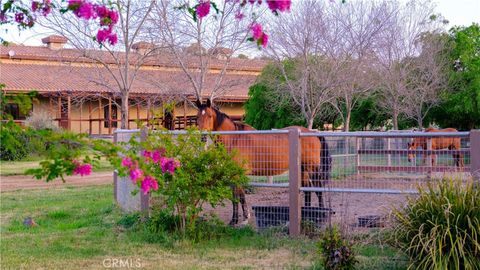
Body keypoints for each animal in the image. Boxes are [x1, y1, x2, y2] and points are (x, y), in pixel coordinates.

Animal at [195, 99, 330, 226]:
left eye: (209, 116)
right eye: (197, 117)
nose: (202, 137)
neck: (235, 138)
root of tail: (313, 133)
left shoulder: (238, 173)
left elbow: (238, 196)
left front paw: (240, 219)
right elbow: (237, 196)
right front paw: (239, 219)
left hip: (312, 168)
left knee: (318, 189)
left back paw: (322, 215)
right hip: (303, 169)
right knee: (307, 190)